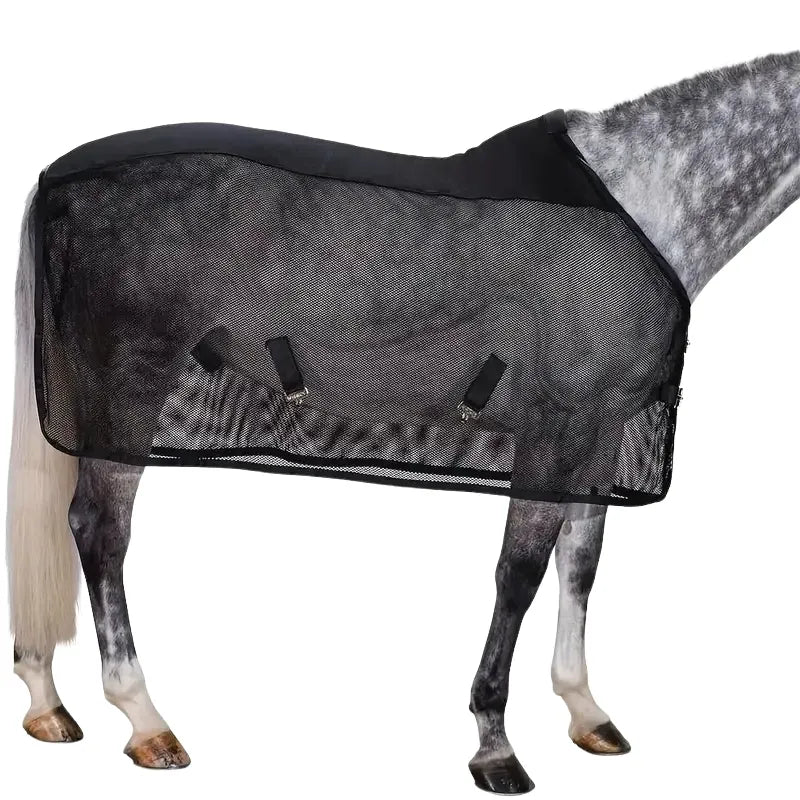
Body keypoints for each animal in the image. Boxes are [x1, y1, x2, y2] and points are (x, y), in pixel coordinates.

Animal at [7, 51, 799, 793]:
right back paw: (144, 720)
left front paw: (586, 711)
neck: (644, 196)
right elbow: (519, 574)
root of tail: (55, 181)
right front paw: (495, 746)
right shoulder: (554, 430)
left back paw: (48, 703)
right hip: (127, 385)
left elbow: (580, 565)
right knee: (99, 532)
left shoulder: (599, 434)